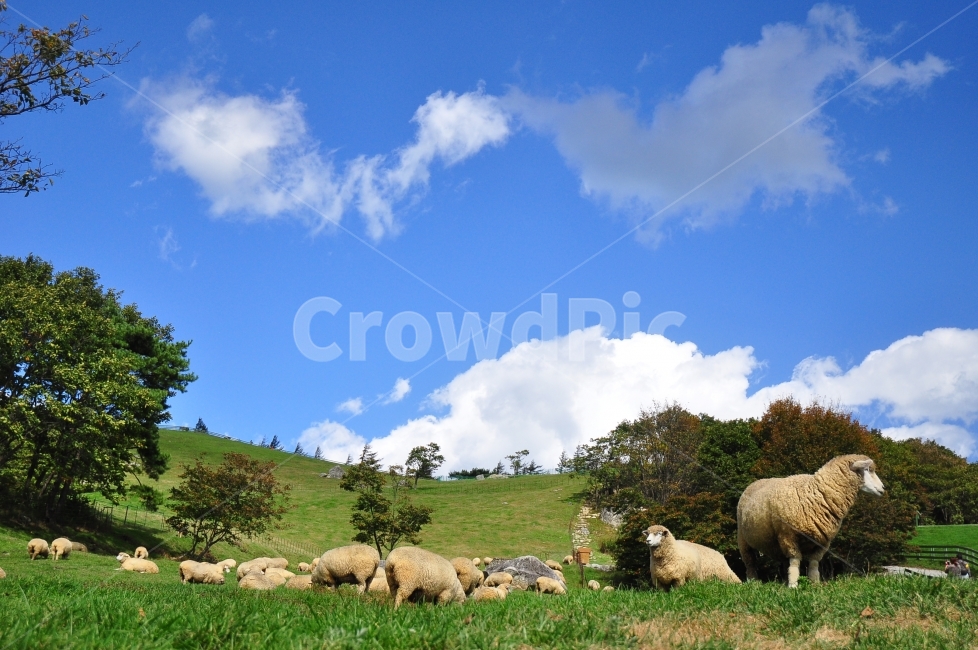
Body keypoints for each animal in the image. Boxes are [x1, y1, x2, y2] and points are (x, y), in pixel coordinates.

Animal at [737, 454, 885, 588]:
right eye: (867, 469)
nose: (883, 488)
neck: (816, 492)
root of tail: (755, 482)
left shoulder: (823, 541)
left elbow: (814, 564)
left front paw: (814, 584)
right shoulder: (789, 536)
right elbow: (795, 562)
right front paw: (793, 586)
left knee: (784, 562)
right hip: (743, 540)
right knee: (750, 562)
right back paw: (753, 582)